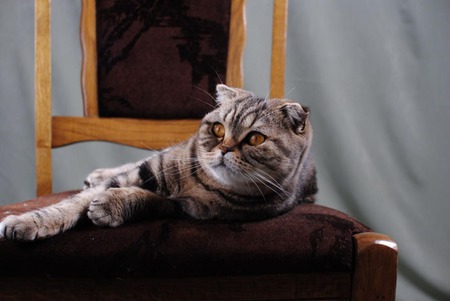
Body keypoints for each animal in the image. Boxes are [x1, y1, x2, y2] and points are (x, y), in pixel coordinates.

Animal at [0, 85, 316, 240]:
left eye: (255, 139)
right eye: (218, 129)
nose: (224, 150)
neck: (200, 183)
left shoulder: (185, 209)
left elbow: (143, 199)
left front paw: (110, 206)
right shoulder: (149, 168)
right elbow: (70, 204)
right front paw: (27, 222)